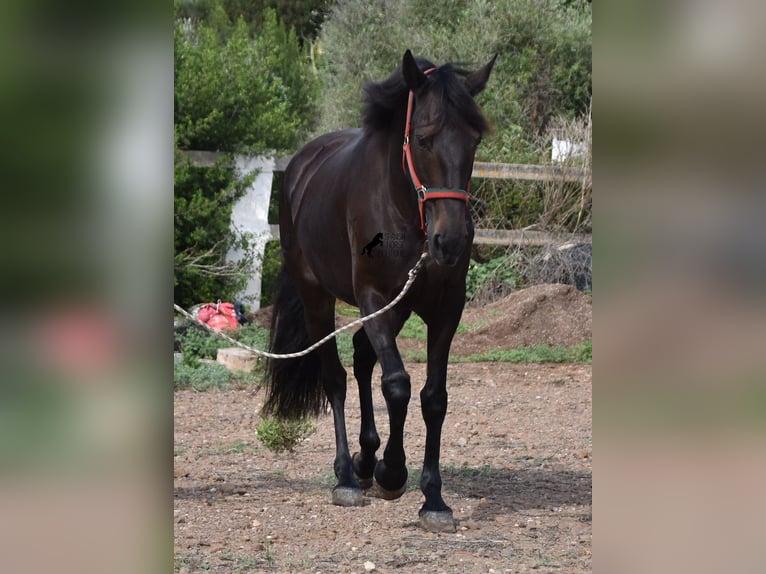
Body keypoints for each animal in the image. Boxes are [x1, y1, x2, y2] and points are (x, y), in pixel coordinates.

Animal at [264, 50, 498, 536]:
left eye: (474, 142)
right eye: (424, 140)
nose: (452, 241)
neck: (404, 209)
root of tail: (300, 166)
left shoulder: (445, 308)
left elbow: (433, 397)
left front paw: (433, 499)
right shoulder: (373, 297)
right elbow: (397, 385)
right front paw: (393, 471)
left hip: (398, 306)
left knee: (360, 357)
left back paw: (365, 459)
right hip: (319, 298)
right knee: (336, 375)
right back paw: (348, 476)